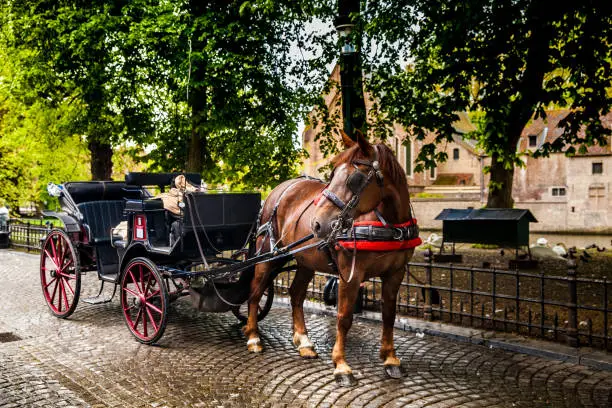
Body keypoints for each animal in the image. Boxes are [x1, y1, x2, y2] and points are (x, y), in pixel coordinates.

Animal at [244, 131, 420, 386]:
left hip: (306, 260)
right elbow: (344, 317)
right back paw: (253, 337)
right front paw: (341, 366)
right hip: (267, 254)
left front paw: (390, 359)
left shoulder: (395, 273)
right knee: (255, 292)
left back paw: (303, 341)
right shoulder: (350, 274)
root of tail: (279, 190)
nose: (317, 224)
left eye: (354, 179)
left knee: (296, 294)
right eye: (332, 174)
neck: (389, 223)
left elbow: (389, 315)